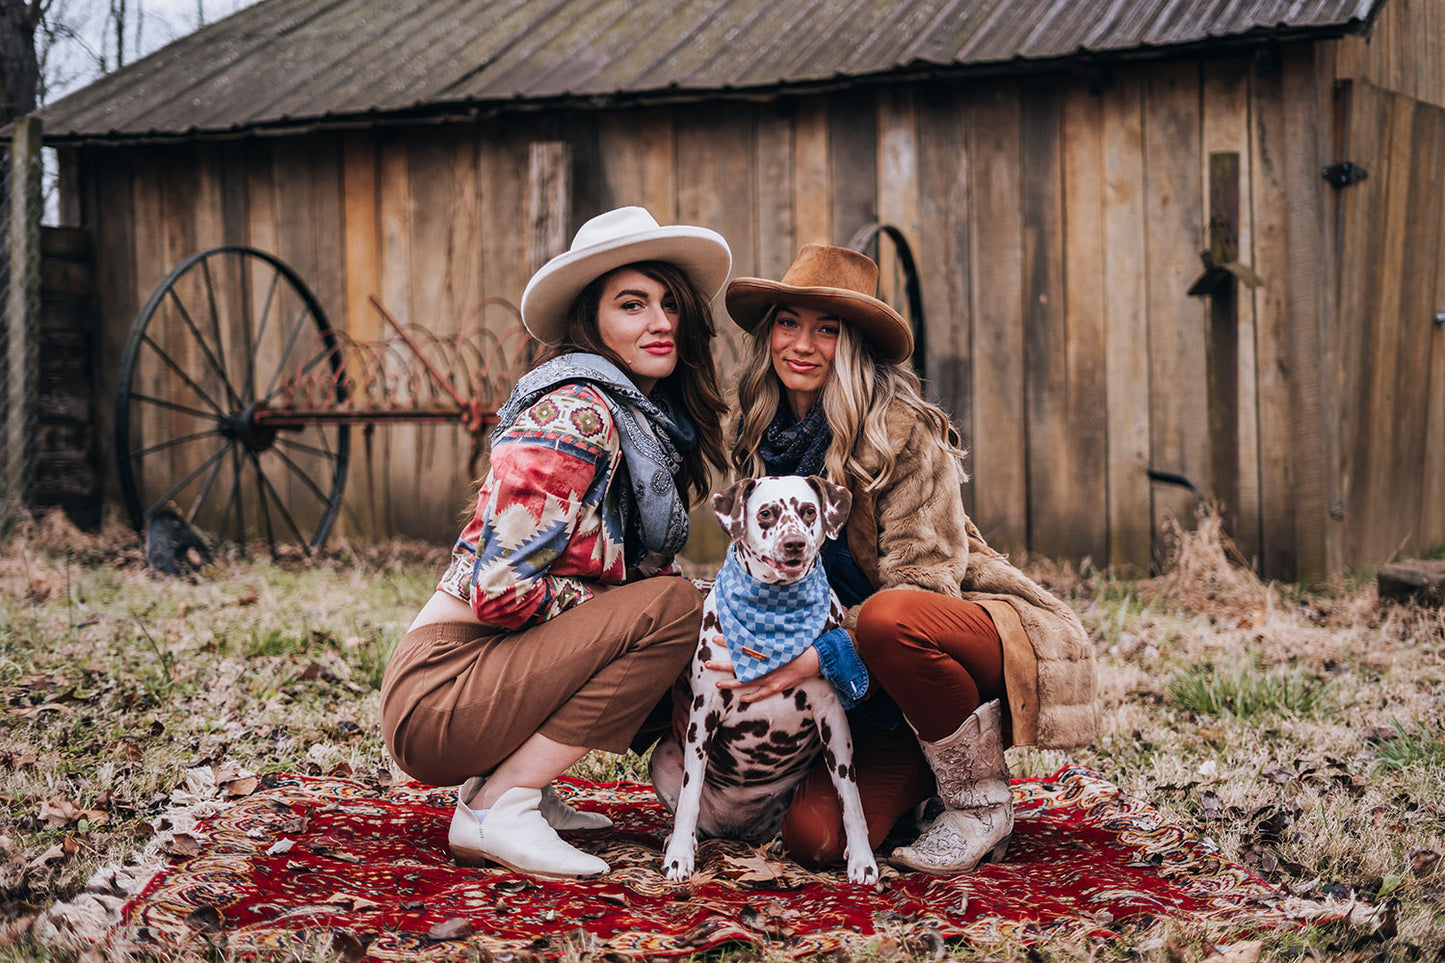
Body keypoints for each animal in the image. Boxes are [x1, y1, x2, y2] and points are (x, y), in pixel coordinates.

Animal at [650, 468, 872, 879]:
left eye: (808, 511)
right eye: (766, 513)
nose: (794, 543)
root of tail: (736, 829)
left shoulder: (833, 721)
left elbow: (851, 798)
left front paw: (863, 859)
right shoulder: (703, 716)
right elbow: (690, 795)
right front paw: (679, 857)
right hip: (663, 756)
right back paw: (682, 840)